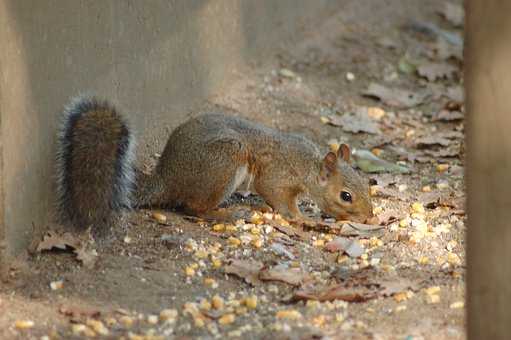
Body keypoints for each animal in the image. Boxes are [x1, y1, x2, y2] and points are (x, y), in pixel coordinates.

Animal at [56, 95, 374, 236]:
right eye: (346, 196)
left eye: (367, 185)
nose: (369, 218)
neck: (307, 164)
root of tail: (167, 178)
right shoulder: (276, 175)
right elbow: (281, 201)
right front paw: (303, 218)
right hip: (224, 163)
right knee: (194, 208)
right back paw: (229, 212)